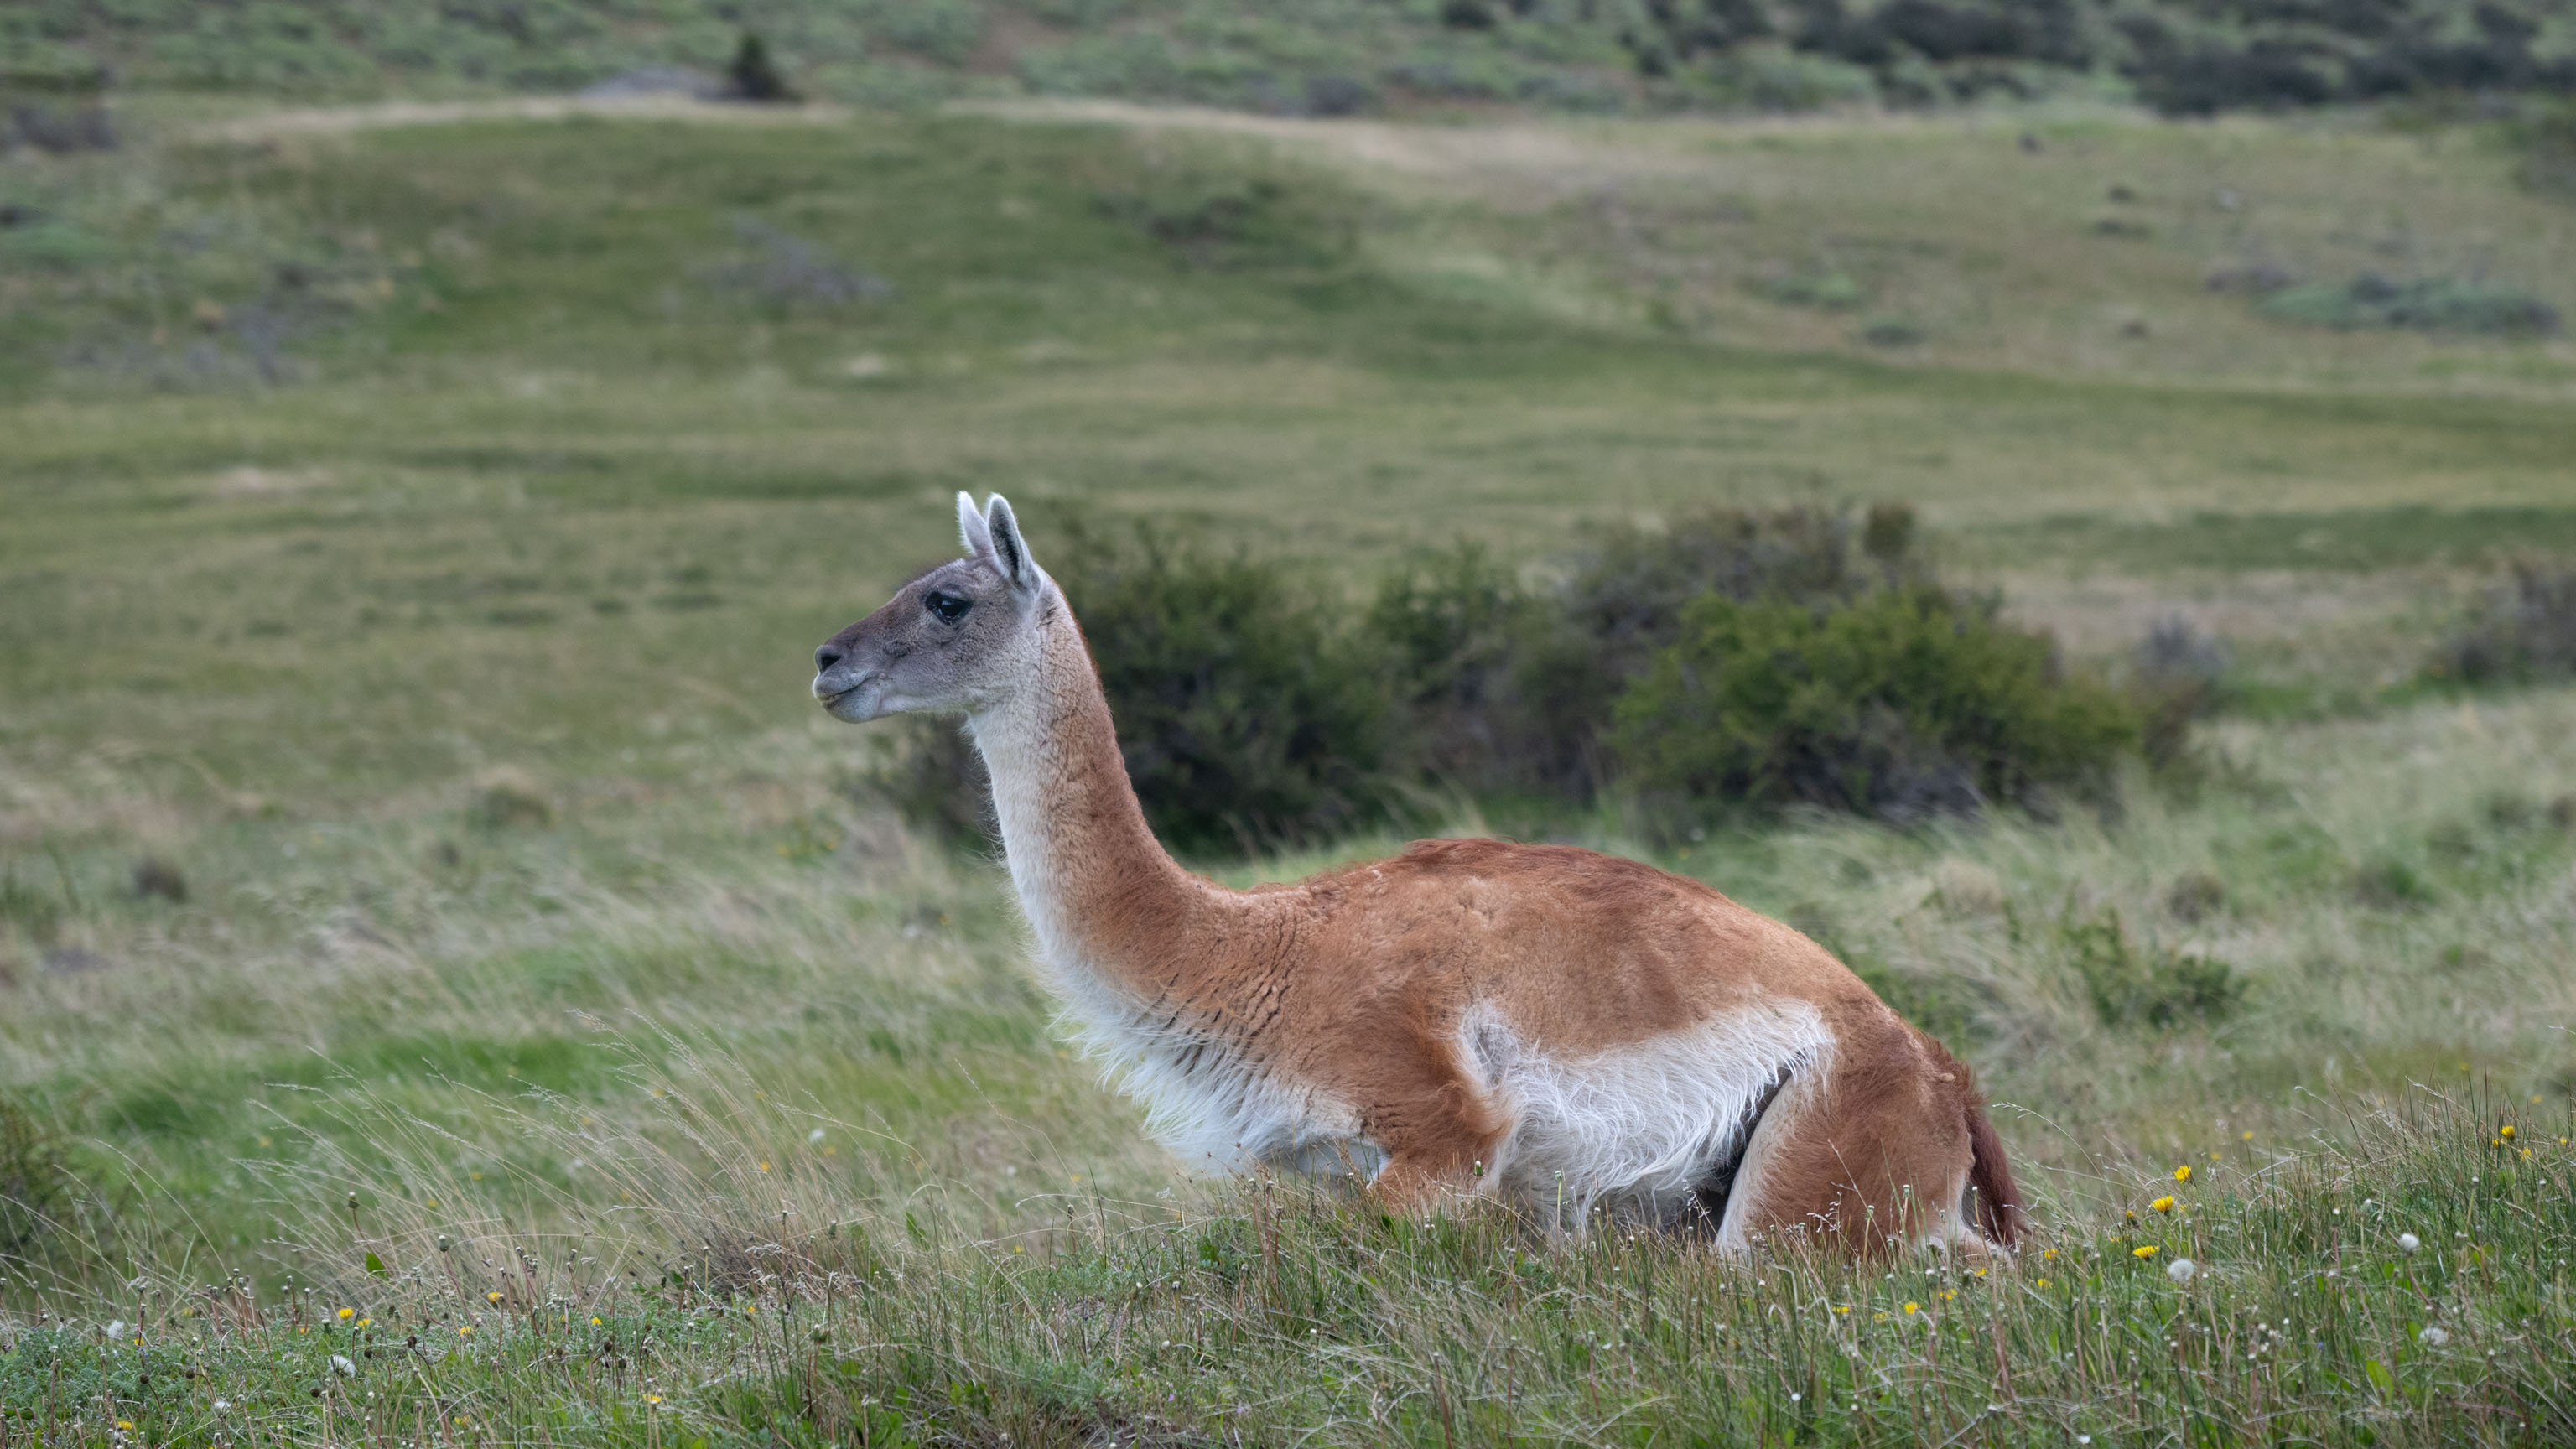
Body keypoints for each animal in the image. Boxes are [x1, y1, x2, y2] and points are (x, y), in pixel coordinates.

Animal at [811, 493, 2024, 1255]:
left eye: (947, 601)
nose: (827, 661)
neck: (1259, 951)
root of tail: (1946, 1075)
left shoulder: (1443, 1127)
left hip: (1817, 1170)